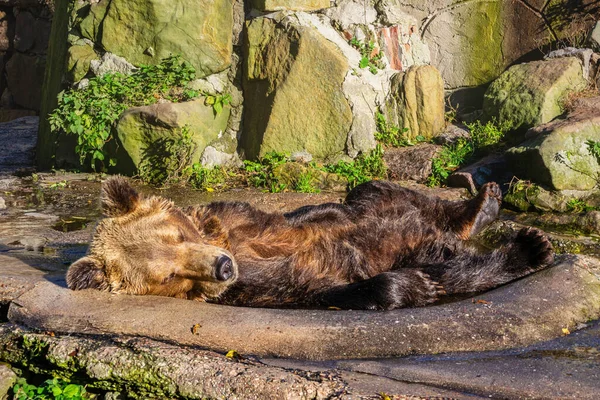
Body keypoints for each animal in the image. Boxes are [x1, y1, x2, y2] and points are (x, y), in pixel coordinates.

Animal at [65, 177, 552, 310]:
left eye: (180, 234)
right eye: (170, 275)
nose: (223, 266)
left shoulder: (241, 219)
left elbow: (310, 216)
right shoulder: (257, 287)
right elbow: (319, 287)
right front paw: (409, 286)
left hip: (384, 204)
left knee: (386, 193)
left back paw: (483, 204)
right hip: (423, 247)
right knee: (451, 267)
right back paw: (529, 247)